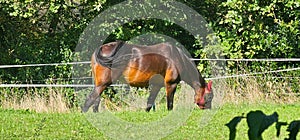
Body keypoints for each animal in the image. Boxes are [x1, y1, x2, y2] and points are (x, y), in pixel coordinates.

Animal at [82, 40, 212, 111]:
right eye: (209, 96)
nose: (209, 110)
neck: (177, 58)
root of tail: (100, 49)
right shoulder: (171, 85)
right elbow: (169, 104)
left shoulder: (156, 86)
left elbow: (149, 103)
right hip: (103, 84)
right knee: (89, 100)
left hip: (99, 84)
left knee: (95, 102)